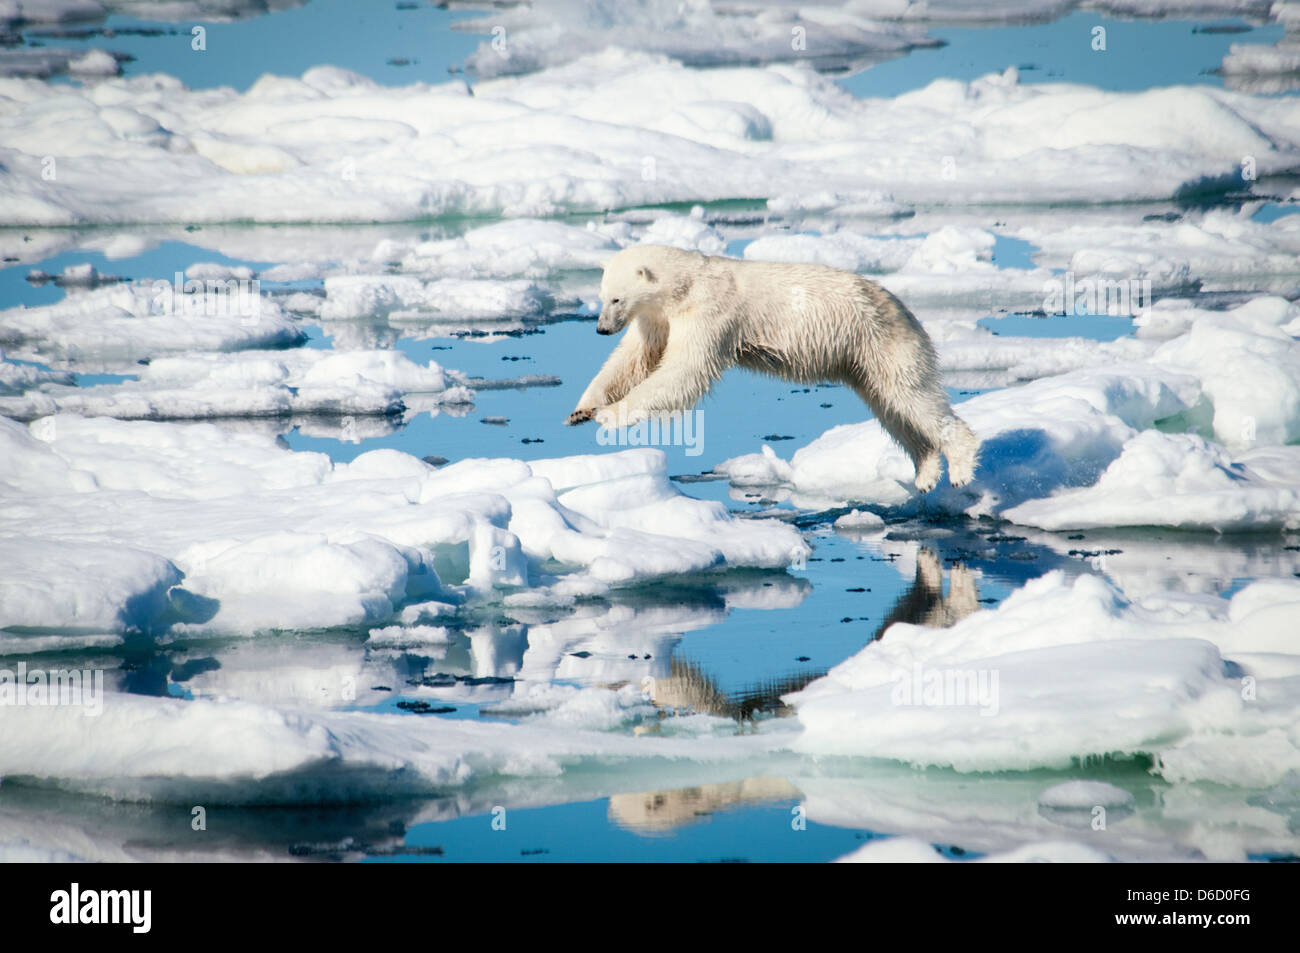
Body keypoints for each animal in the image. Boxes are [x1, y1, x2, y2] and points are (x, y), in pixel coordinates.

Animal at [564, 245, 977, 491]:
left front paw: (611, 415)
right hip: (862, 360)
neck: (687, 284)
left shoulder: (709, 314)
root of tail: (903, 307)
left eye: (616, 299)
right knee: (891, 409)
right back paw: (925, 472)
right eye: (601, 296)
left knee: (913, 396)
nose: (602, 328)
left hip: (882, 340)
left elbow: (684, 371)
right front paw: (582, 409)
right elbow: (633, 360)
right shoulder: (658, 318)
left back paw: (959, 466)